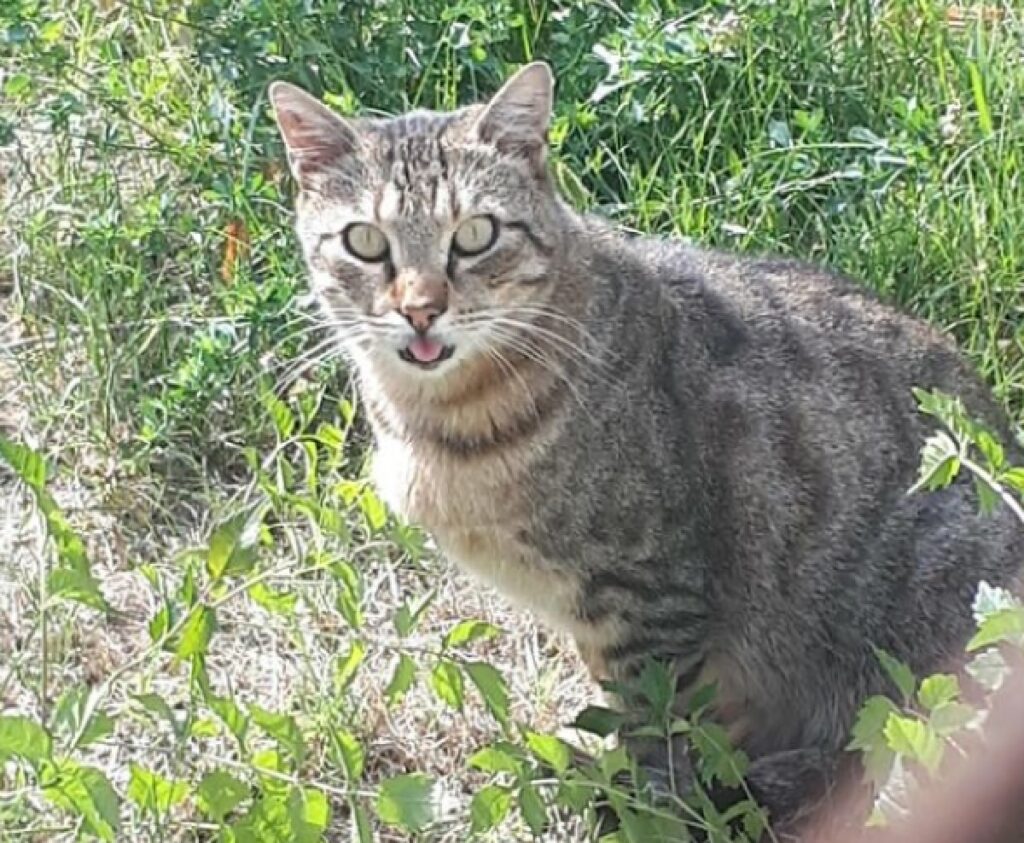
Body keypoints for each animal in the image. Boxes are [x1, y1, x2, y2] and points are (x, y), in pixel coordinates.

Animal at [268, 62, 1019, 835]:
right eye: (365, 241)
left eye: (475, 233)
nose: (420, 308)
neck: (446, 428)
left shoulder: (649, 595)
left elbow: (654, 727)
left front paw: (642, 806)